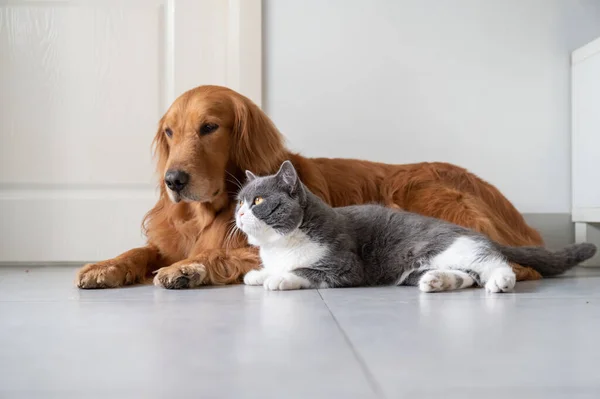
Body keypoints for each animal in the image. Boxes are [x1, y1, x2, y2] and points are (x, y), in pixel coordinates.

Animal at [233, 160, 596, 294]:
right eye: (239, 201)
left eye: (258, 201)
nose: (238, 214)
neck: (279, 246)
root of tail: (470, 231)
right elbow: (270, 269)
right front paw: (257, 274)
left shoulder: (345, 266)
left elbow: (305, 270)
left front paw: (279, 278)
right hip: (426, 267)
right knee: (468, 276)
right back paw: (437, 281)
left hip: (451, 247)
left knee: (493, 262)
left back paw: (501, 282)